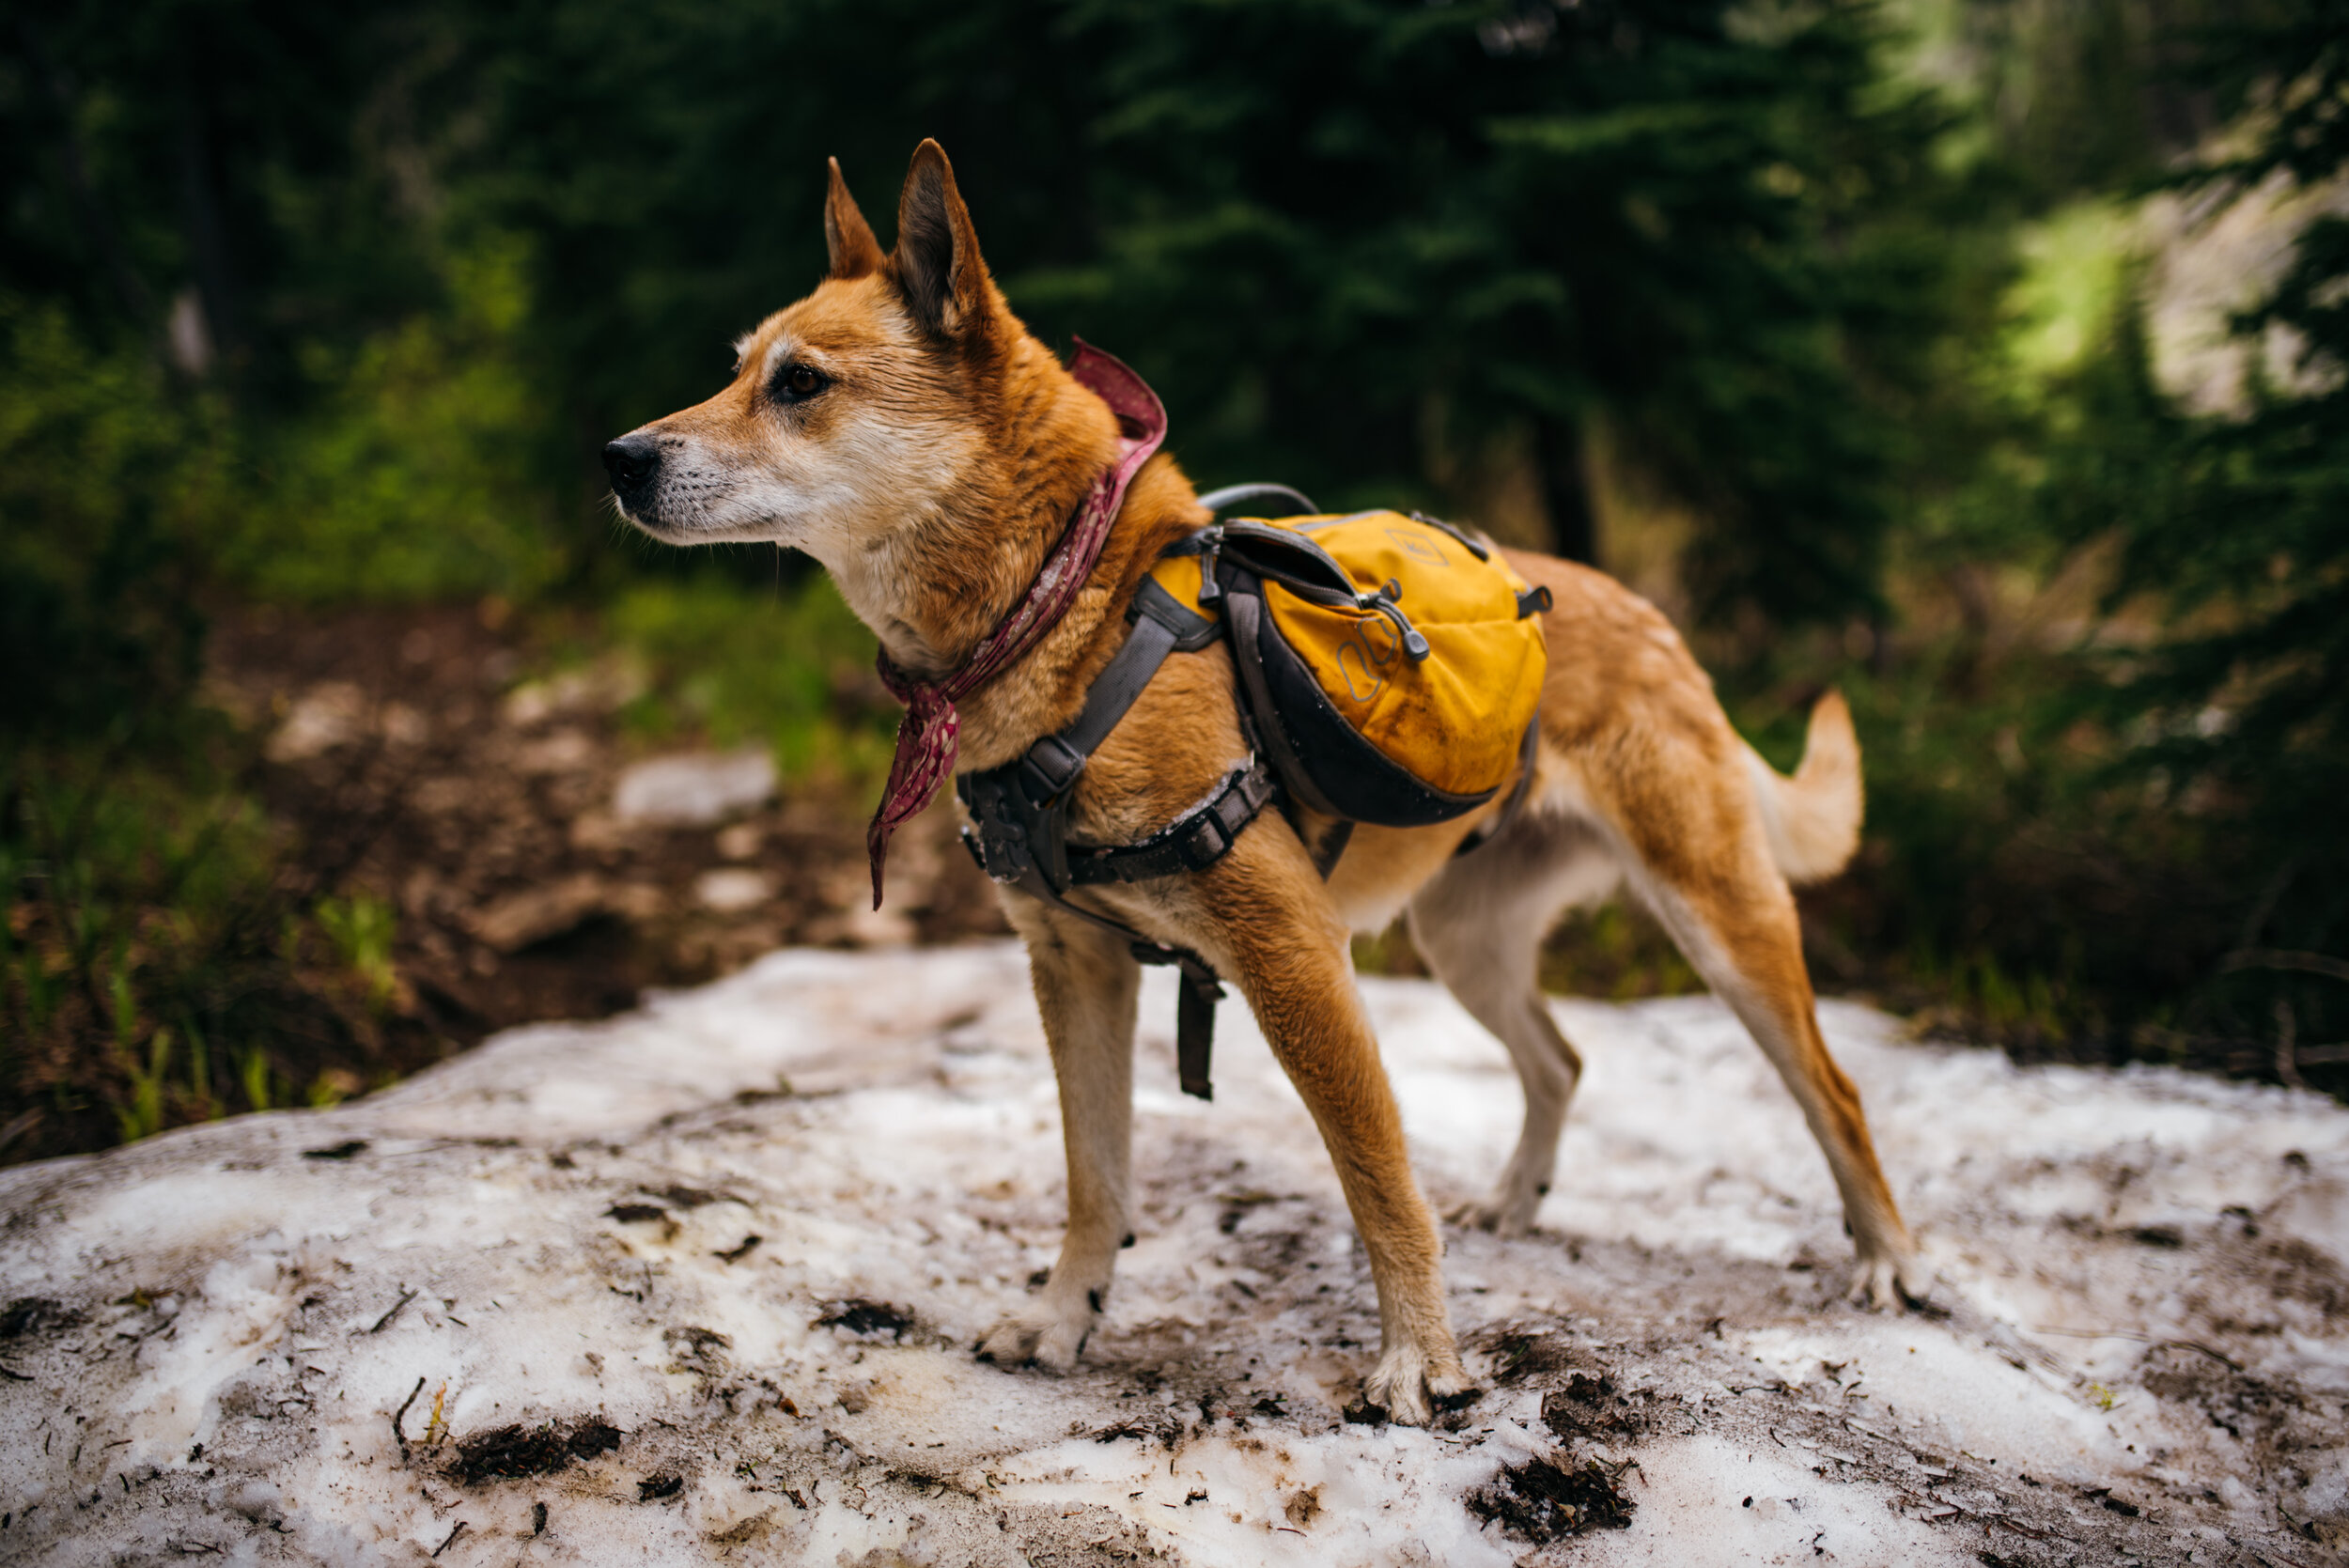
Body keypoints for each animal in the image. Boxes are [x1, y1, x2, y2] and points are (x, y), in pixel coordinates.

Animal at [597, 140, 1917, 1427]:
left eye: (800, 384)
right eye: (734, 371)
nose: (616, 457)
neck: (1064, 613)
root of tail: (1646, 612)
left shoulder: (1291, 954)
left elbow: (1377, 1178)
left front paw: (1421, 1364)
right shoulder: (1072, 963)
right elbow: (1094, 1175)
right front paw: (1064, 1318)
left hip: (1719, 922)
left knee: (1836, 1090)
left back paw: (1890, 1260)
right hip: (1464, 941)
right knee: (1560, 1060)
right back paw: (1517, 1199)